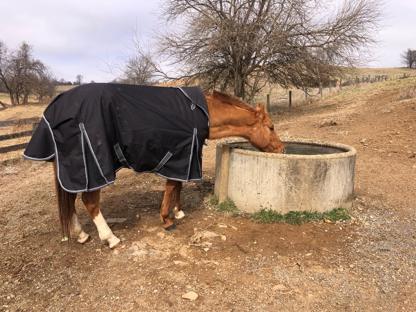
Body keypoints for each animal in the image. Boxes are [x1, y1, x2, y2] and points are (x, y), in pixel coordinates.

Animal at [56, 91, 282, 249]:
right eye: (271, 127)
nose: (281, 148)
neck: (199, 113)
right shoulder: (179, 155)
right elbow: (172, 185)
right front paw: (166, 219)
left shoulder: (184, 158)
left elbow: (178, 186)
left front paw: (178, 211)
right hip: (95, 168)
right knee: (89, 201)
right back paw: (110, 238)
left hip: (75, 171)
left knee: (72, 199)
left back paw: (81, 234)